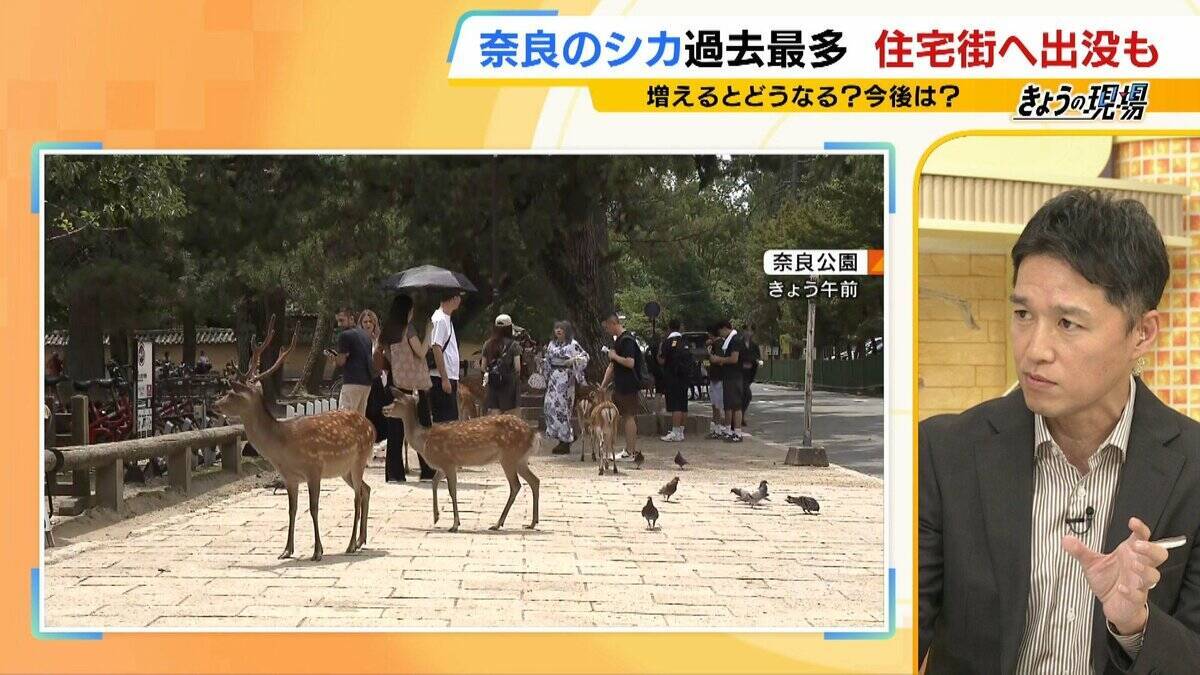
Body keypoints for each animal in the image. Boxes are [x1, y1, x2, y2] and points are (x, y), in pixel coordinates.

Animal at [213, 315, 375, 562]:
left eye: (233, 393)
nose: (215, 404)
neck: (283, 446)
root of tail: (372, 427)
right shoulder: (290, 477)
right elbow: (292, 509)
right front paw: (286, 550)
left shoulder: (314, 468)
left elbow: (313, 508)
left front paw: (317, 551)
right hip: (344, 469)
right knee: (366, 489)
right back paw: (360, 540)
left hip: (358, 460)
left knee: (357, 496)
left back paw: (350, 545)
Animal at [388, 392, 540, 532]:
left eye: (395, 401)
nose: (384, 409)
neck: (424, 441)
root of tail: (534, 435)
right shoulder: (443, 467)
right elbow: (434, 482)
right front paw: (436, 517)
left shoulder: (448, 462)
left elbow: (452, 491)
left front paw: (454, 525)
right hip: (520, 460)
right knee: (534, 480)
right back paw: (532, 523)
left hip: (509, 457)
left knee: (516, 485)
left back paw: (497, 524)